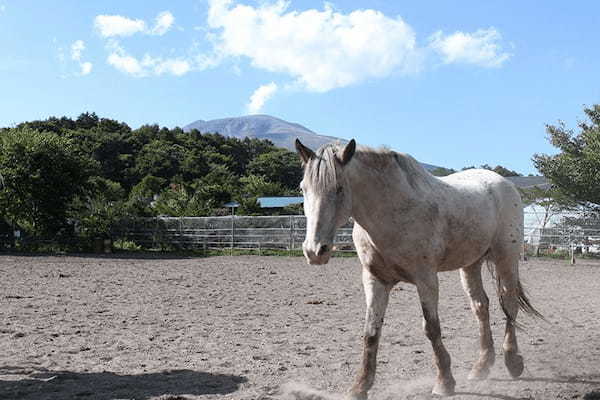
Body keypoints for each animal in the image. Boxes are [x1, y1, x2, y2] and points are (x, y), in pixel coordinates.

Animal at [296, 139, 544, 398]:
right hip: (470, 265)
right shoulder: (375, 281)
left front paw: (444, 381)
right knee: (480, 307)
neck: (392, 213)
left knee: (509, 304)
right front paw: (359, 386)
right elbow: (371, 332)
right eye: (303, 189)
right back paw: (482, 366)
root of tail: (503, 183)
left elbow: (431, 328)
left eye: (339, 188)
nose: (315, 250)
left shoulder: (426, 279)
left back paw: (513, 361)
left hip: (506, 258)